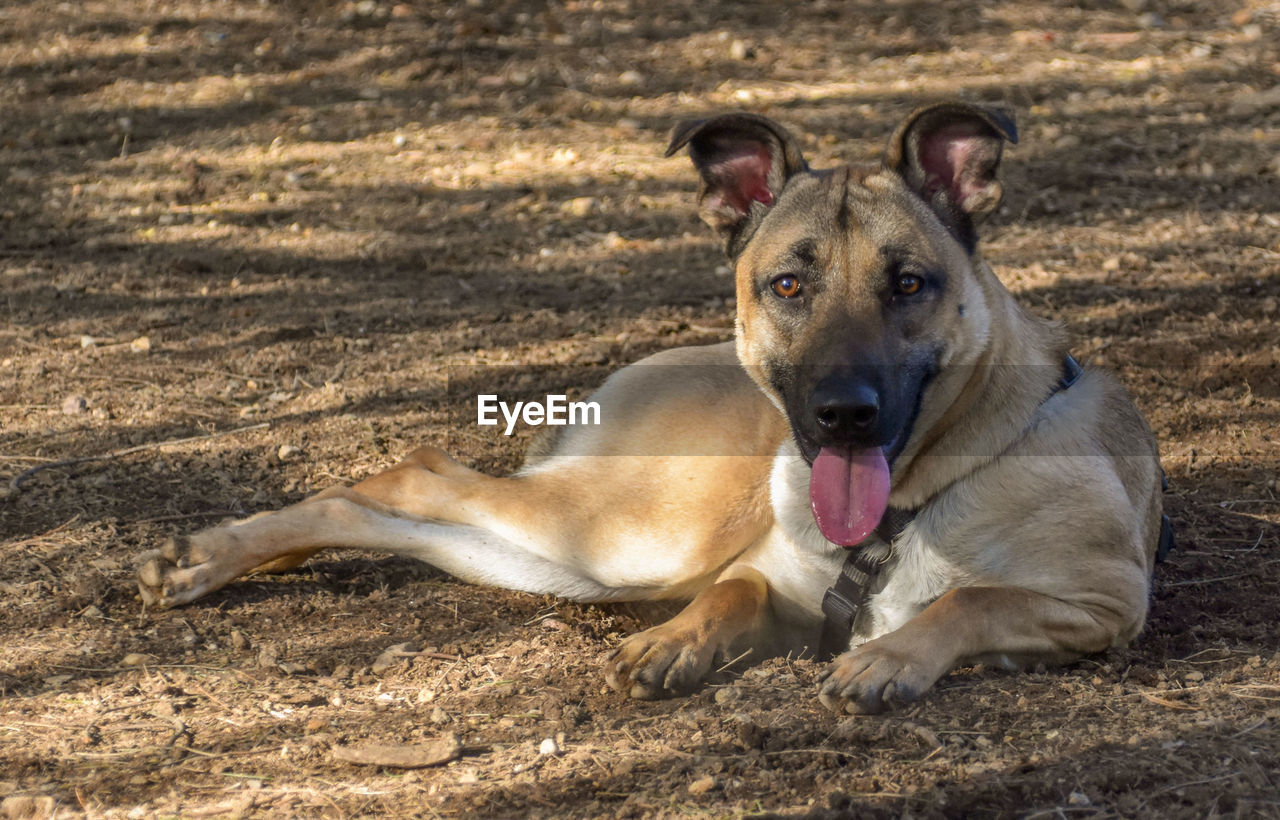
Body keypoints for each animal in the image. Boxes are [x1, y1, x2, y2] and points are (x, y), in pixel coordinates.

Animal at [135, 102, 1167, 711]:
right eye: (789, 285)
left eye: (909, 282)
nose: (843, 415)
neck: (914, 499)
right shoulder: (765, 576)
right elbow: (732, 591)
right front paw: (679, 643)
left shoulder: (1104, 602)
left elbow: (975, 596)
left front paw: (892, 655)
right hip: (633, 535)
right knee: (417, 473)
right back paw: (211, 558)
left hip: (584, 555)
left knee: (405, 499)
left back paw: (211, 559)